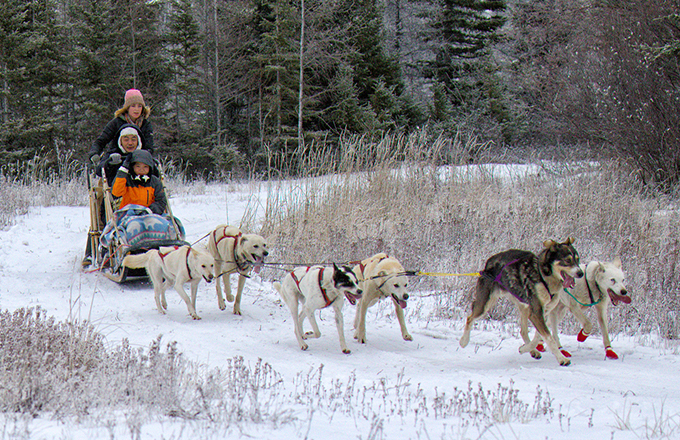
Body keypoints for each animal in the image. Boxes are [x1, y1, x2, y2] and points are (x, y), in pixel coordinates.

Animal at [456, 239, 584, 366]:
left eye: (577, 259)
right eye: (568, 260)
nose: (581, 273)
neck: (543, 277)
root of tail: (489, 262)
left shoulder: (543, 312)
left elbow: (539, 336)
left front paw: (526, 348)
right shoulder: (536, 312)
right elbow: (548, 337)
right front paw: (562, 358)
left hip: (524, 307)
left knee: (523, 331)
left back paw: (532, 351)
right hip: (485, 304)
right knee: (470, 318)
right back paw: (463, 341)